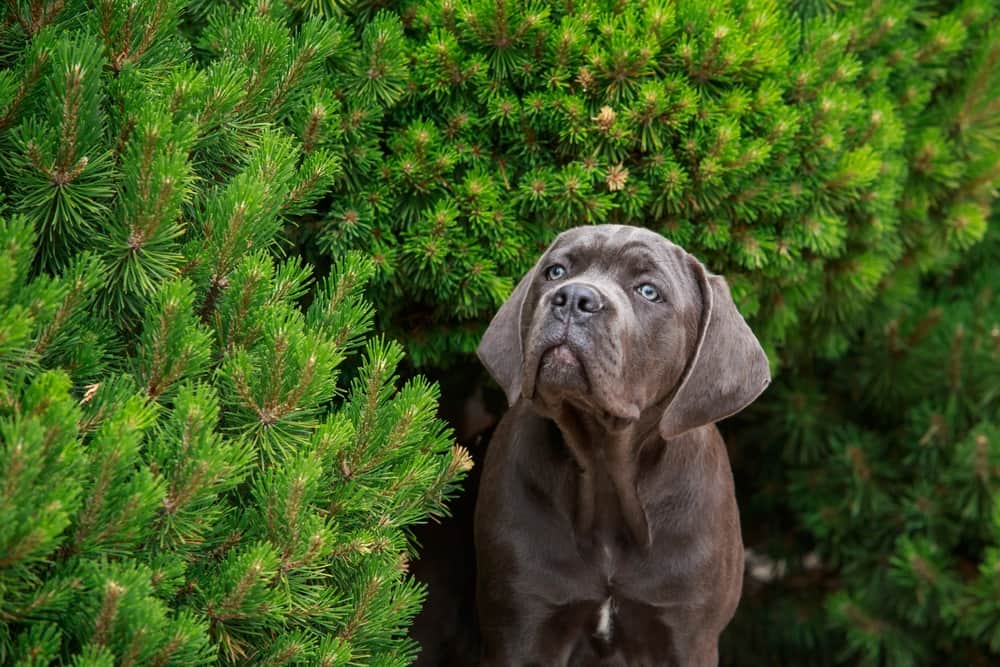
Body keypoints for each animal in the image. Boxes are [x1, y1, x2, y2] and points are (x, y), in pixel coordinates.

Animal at [472, 226, 768, 667]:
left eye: (648, 291)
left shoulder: (687, 633)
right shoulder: (522, 622)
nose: (574, 298)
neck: (604, 469)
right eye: (555, 271)